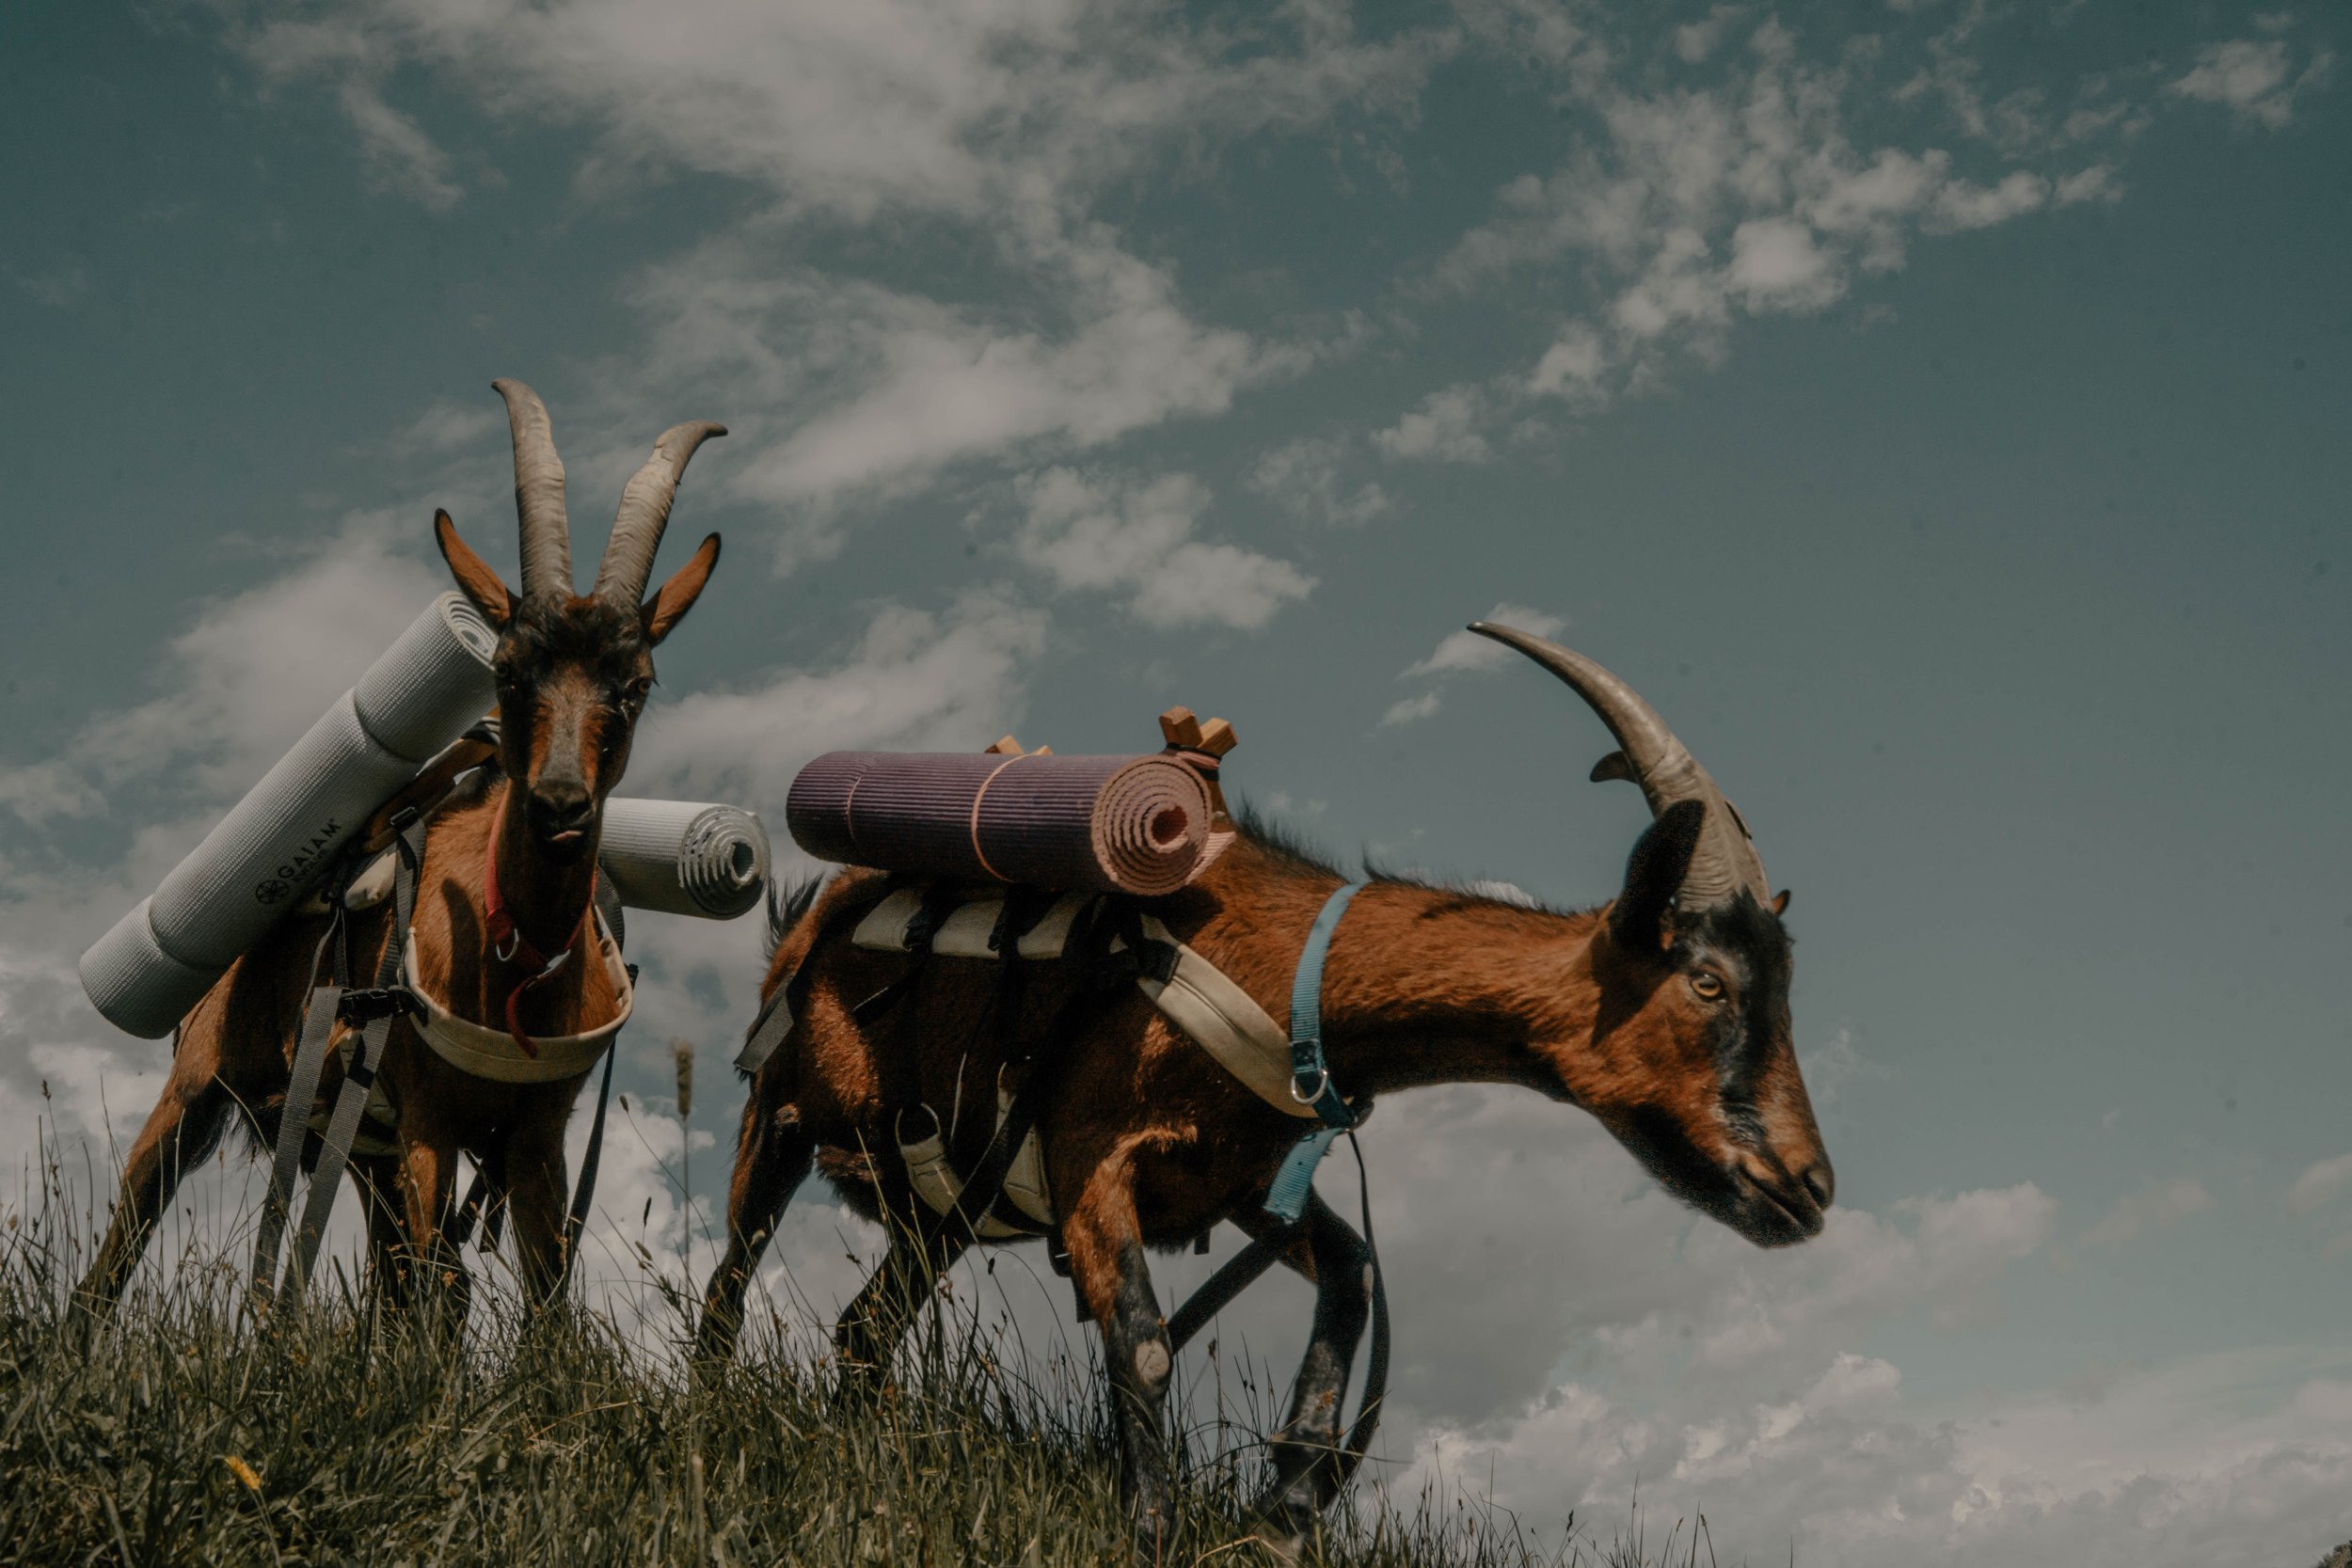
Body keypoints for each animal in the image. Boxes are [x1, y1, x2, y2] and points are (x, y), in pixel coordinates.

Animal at [75, 381, 725, 1317]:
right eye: (507, 670)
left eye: (636, 684)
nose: (559, 804)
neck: (515, 962)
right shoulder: (425, 1116)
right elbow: (435, 1293)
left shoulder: (535, 1135)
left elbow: (544, 1303)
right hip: (198, 1087)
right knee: (112, 1260)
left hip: (352, 1141)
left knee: (394, 1277)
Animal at [695, 625, 1834, 1558]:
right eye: (1709, 980)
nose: (1810, 1186)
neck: (1286, 968)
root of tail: (813, 906)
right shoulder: (1087, 1157)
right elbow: (1146, 1345)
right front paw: (1154, 1532)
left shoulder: (1242, 1182)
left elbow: (1353, 1269)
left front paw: (1286, 1502)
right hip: (779, 1112)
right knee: (728, 1281)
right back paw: (711, 1424)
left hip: (943, 1210)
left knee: (862, 1331)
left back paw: (867, 1470)